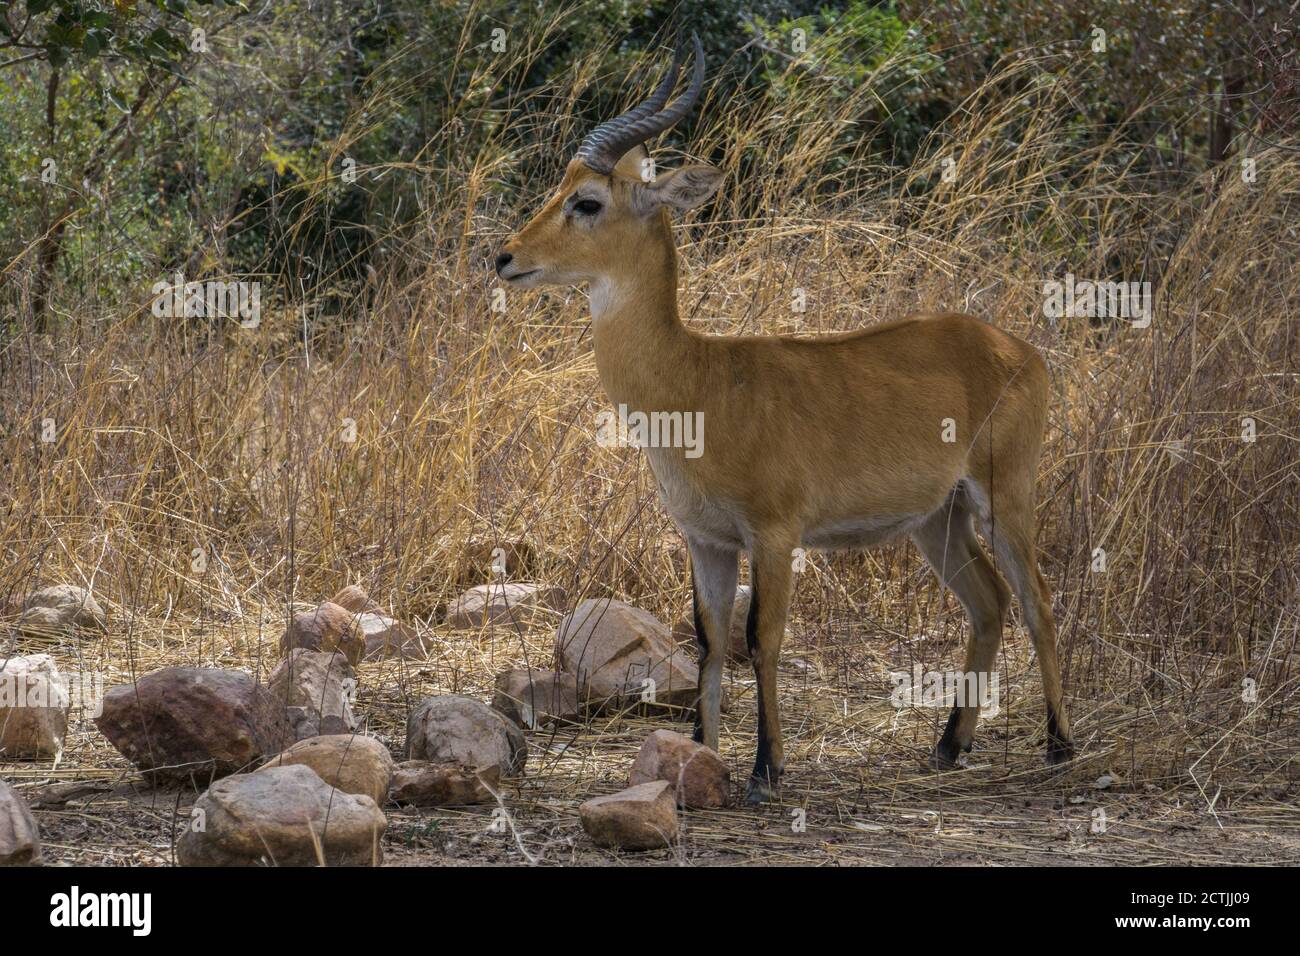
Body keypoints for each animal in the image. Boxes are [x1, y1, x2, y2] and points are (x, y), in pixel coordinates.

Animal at [496, 37, 1076, 806]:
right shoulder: (706, 539)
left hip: (1005, 496)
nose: (505, 257)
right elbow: (710, 641)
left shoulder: (774, 535)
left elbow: (761, 639)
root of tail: (1019, 348)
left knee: (1037, 599)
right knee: (989, 603)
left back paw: (1060, 745)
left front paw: (766, 769)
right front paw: (701, 755)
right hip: (937, 519)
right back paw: (949, 747)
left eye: (587, 200)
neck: (699, 381)